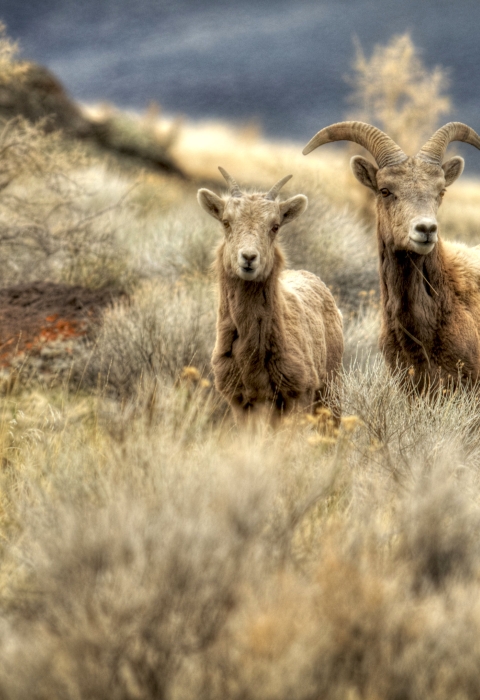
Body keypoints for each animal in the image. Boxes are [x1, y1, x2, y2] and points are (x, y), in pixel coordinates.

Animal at [197, 168, 343, 423]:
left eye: (275, 226)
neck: (251, 357)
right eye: (226, 222)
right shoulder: (241, 402)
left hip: (331, 392)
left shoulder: (298, 396)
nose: (248, 258)